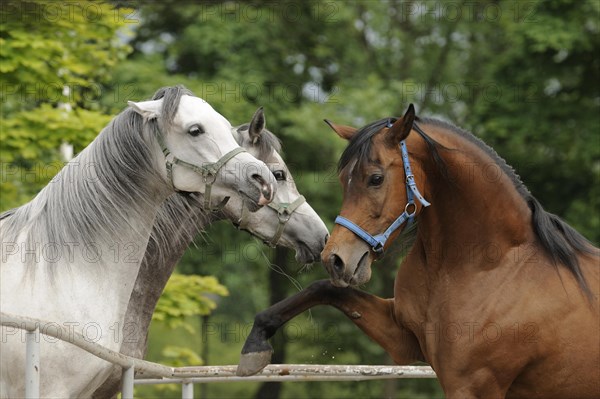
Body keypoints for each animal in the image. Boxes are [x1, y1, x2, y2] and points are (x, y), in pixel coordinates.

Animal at [237, 104, 596, 398]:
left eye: (376, 179)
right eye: (343, 179)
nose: (335, 260)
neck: (488, 267)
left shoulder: (470, 385)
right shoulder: (404, 340)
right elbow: (326, 290)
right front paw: (256, 343)